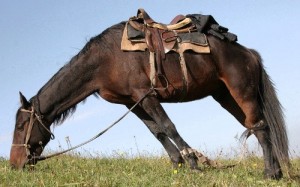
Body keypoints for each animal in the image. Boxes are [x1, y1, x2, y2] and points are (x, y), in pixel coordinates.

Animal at [10, 17, 290, 180]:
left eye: (21, 125)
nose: (14, 164)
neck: (105, 61)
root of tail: (249, 53)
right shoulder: (132, 102)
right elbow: (157, 131)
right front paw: (177, 163)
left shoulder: (145, 95)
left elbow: (168, 126)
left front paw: (192, 162)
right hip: (225, 96)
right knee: (257, 126)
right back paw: (276, 170)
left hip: (242, 92)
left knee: (260, 128)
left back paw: (269, 174)